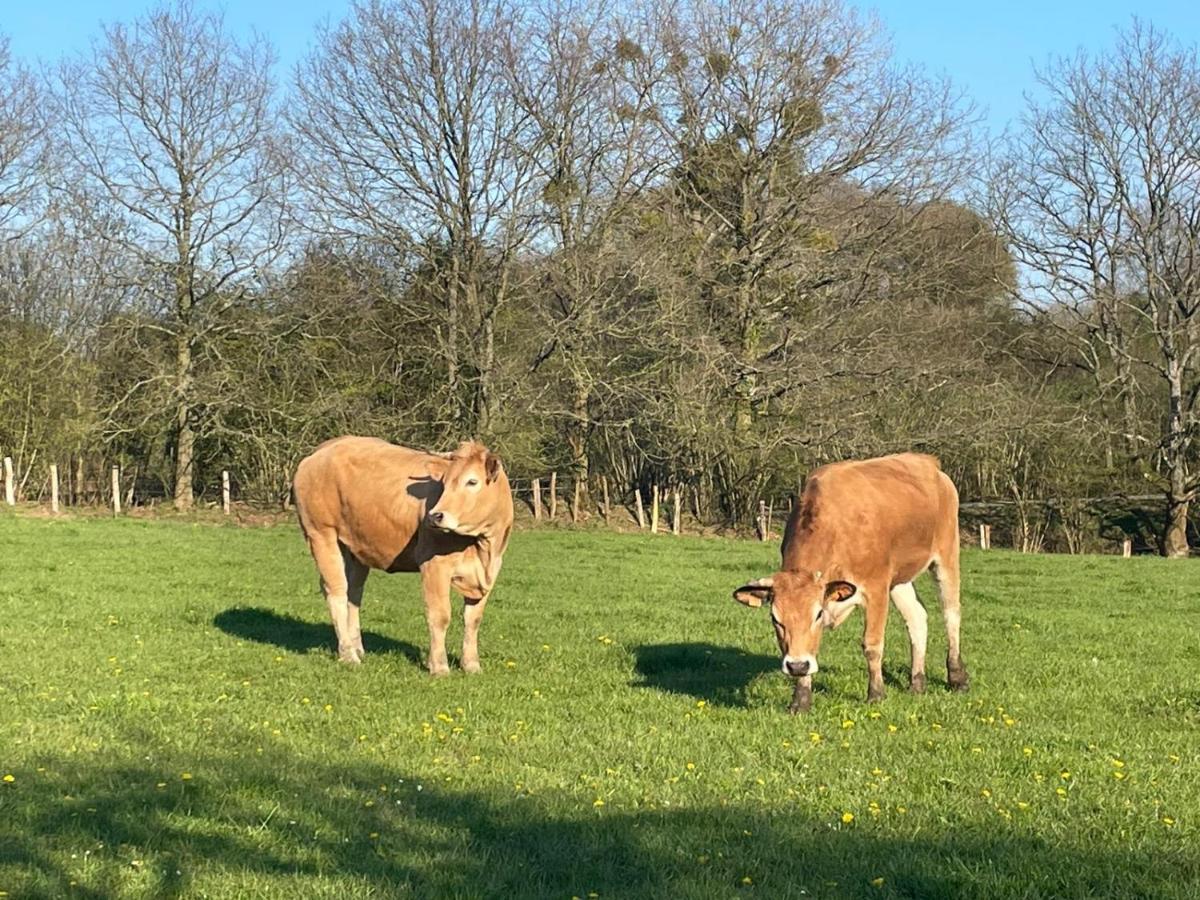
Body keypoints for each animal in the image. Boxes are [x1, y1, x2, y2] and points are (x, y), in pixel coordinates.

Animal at [296, 436, 516, 676]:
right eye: (444, 483)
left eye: (472, 482)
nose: (435, 516)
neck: (483, 547)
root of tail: (325, 448)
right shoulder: (434, 565)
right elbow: (440, 615)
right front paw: (439, 666)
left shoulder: (490, 571)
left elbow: (473, 619)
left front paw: (471, 665)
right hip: (321, 534)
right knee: (336, 590)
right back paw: (348, 654)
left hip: (356, 546)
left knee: (353, 592)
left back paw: (357, 648)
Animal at [729, 453, 964, 715]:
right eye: (775, 619)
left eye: (818, 614)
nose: (796, 666)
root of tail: (930, 464)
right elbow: (810, 647)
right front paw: (801, 700)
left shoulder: (876, 589)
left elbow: (872, 645)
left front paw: (876, 695)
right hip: (900, 579)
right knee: (917, 618)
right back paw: (917, 683)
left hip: (946, 556)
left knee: (951, 615)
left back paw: (957, 677)